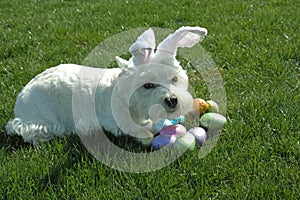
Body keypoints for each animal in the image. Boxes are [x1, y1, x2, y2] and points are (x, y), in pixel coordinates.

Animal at [5, 26, 207, 145]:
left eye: (174, 79)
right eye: (148, 85)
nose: (172, 100)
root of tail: (21, 98)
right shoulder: (113, 122)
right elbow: (143, 130)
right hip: (40, 120)